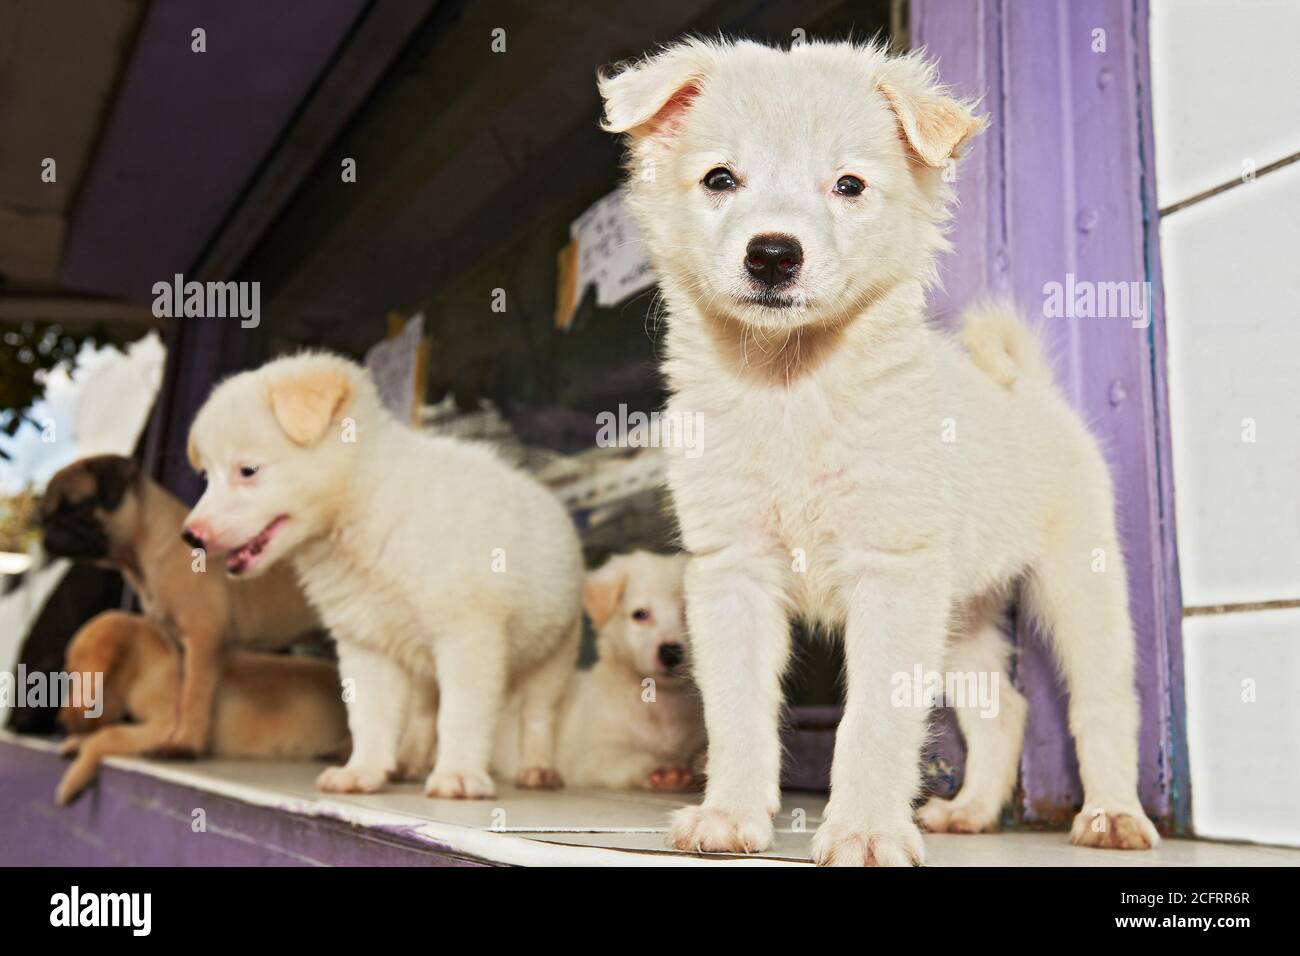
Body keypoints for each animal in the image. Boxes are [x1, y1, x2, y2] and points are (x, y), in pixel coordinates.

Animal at [40, 455, 319, 754]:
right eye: (47, 515)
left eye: (78, 506)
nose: (47, 530)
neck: (142, 553)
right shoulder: (179, 646)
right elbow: (181, 695)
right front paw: (171, 736)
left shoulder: (202, 638)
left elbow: (195, 695)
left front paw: (185, 744)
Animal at [184, 353, 585, 801]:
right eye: (206, 477)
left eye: (248, 470)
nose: (191, 536)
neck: (365, 502)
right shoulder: (365, 643)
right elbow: (371, 717)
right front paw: (363, 770)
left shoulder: (468, 635)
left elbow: (461, 713)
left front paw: (459, 774)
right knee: (426, 711)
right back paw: (408, 761)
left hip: (555, 653)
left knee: (537, 716)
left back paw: (538, 768)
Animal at [491, 554, 707, 790]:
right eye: (640, 615)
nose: (670, 653)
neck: (662, 705)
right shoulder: (593, 755)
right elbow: (633, 755)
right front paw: (663, 770)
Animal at [598, 39, 1159, 868]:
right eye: (720, 179)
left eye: (849, 185)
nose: (773, 255)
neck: (790, 390)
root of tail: (1030, 389)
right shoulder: (733, 571)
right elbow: (736, 709)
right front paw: (729, 816)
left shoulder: (891, 574)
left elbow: (874, 721)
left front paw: (864, 830)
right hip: (960, 613)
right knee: (1005, 709)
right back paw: (972, 811)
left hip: (1078, 586)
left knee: (1103, 702)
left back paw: (1112, 815)